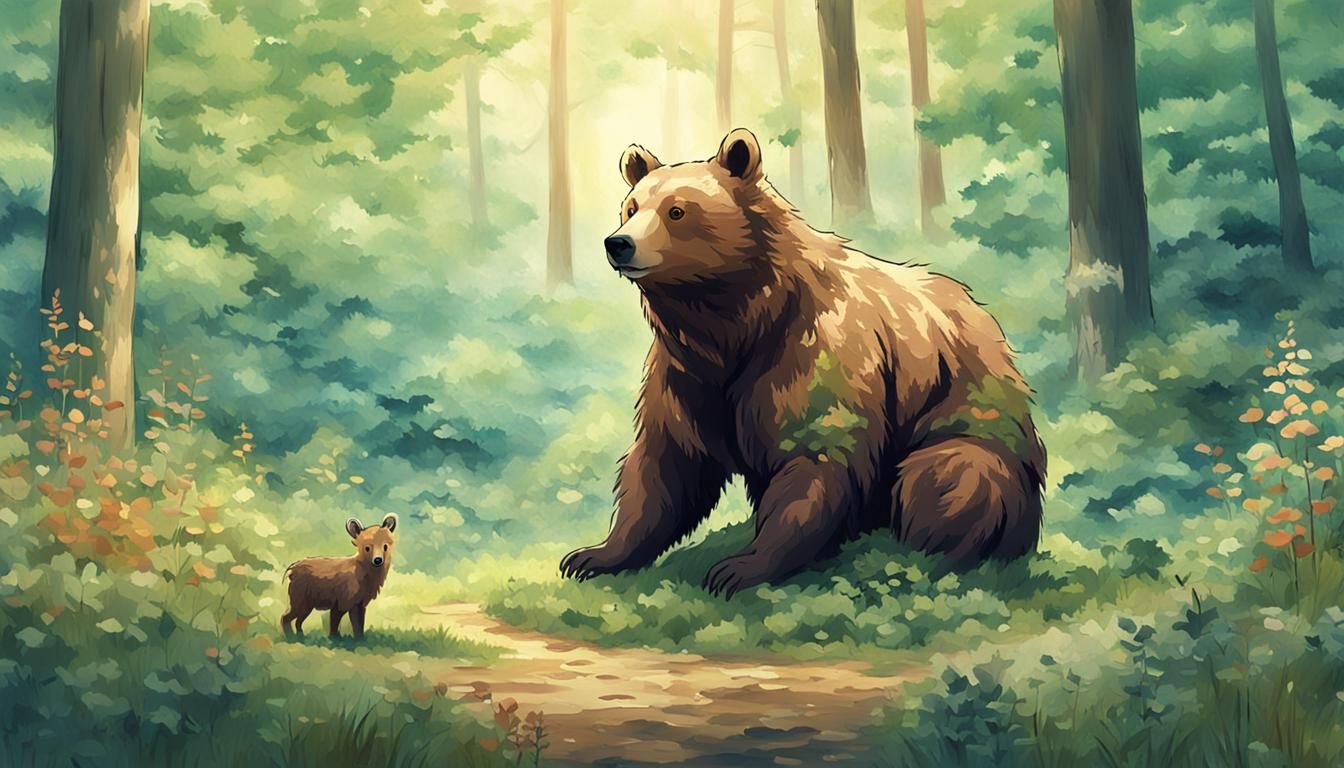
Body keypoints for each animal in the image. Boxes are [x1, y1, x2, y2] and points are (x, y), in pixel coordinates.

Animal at [559, 128, 1046, 598]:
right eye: (631, 207)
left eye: (676, 211)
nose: (618, 244)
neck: (737, 320)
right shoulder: (686, 375)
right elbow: (665, 462)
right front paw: (593, 555)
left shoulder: (808, 354)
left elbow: (814, 455)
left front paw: (739, 568)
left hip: (971, 429)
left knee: (946, 477)